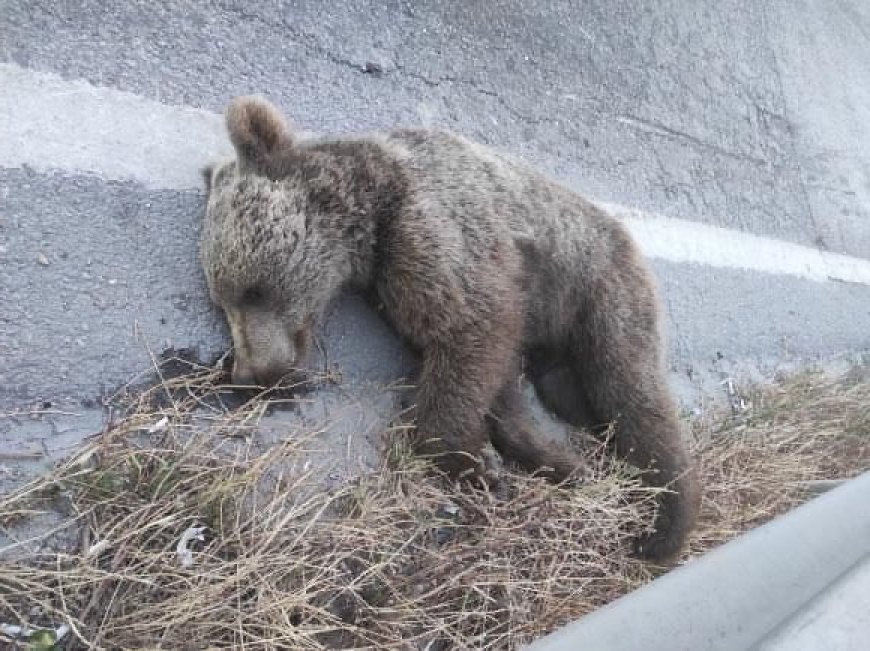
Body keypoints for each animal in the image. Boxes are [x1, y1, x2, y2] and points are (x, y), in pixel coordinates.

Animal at [199, 97, 700, 564]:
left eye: (253, 290)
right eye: (222, 301)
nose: (248, 374)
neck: (373, 216)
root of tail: (626, 234)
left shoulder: (441, 230)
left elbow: (470, 333)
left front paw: (471, 460)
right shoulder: (404, 287)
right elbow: (493, 379)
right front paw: (541, 462)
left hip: (601, 287)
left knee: (630, 388)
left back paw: (664, 524)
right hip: (556, 340)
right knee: (570, 394)